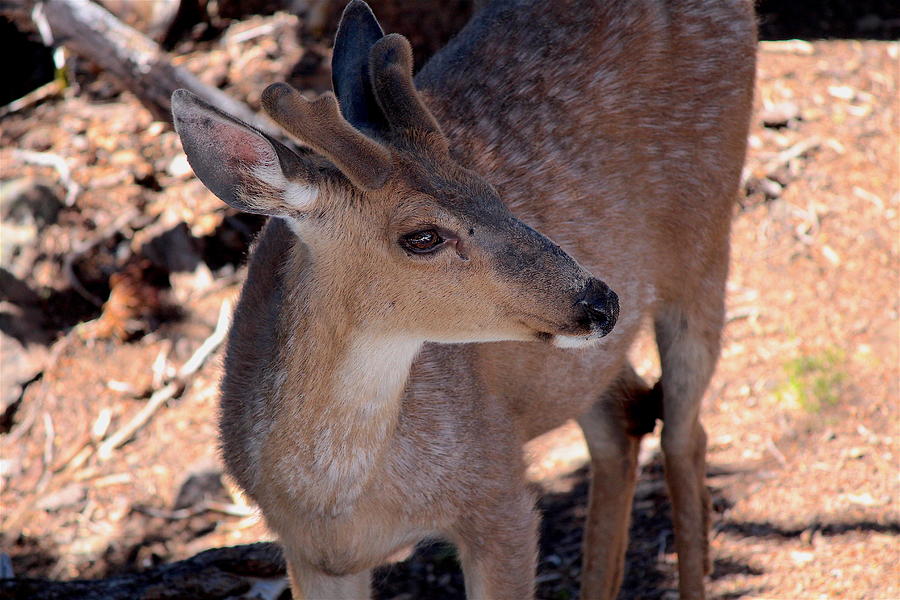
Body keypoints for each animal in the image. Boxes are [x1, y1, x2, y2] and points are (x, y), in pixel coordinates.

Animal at [172, 0, 756, 596]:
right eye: (423, 236)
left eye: (490, 191)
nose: (600, 301)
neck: (336, 501)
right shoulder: (311, 555)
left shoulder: (498, 491)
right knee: (626, 417)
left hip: (706, 238)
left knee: (684, 436)